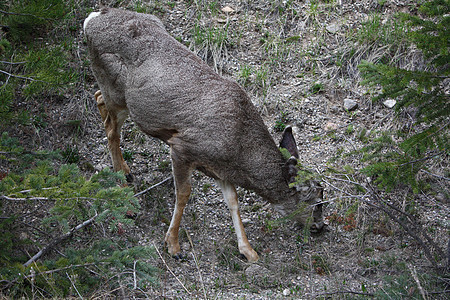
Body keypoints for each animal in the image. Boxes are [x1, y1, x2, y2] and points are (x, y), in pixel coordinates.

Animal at [84, 7, 324, 262]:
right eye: (317, 200)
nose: (320, 226)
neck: (239, 149)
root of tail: (92, 18)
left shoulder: (219, 169)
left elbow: (233, 201)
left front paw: (248, 250)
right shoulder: (183, 147)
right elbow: (183, 194)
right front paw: (173, 244)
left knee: (99, 100)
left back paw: (126, 171)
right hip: (116, 90)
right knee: (111, 129)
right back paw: (123, 187)